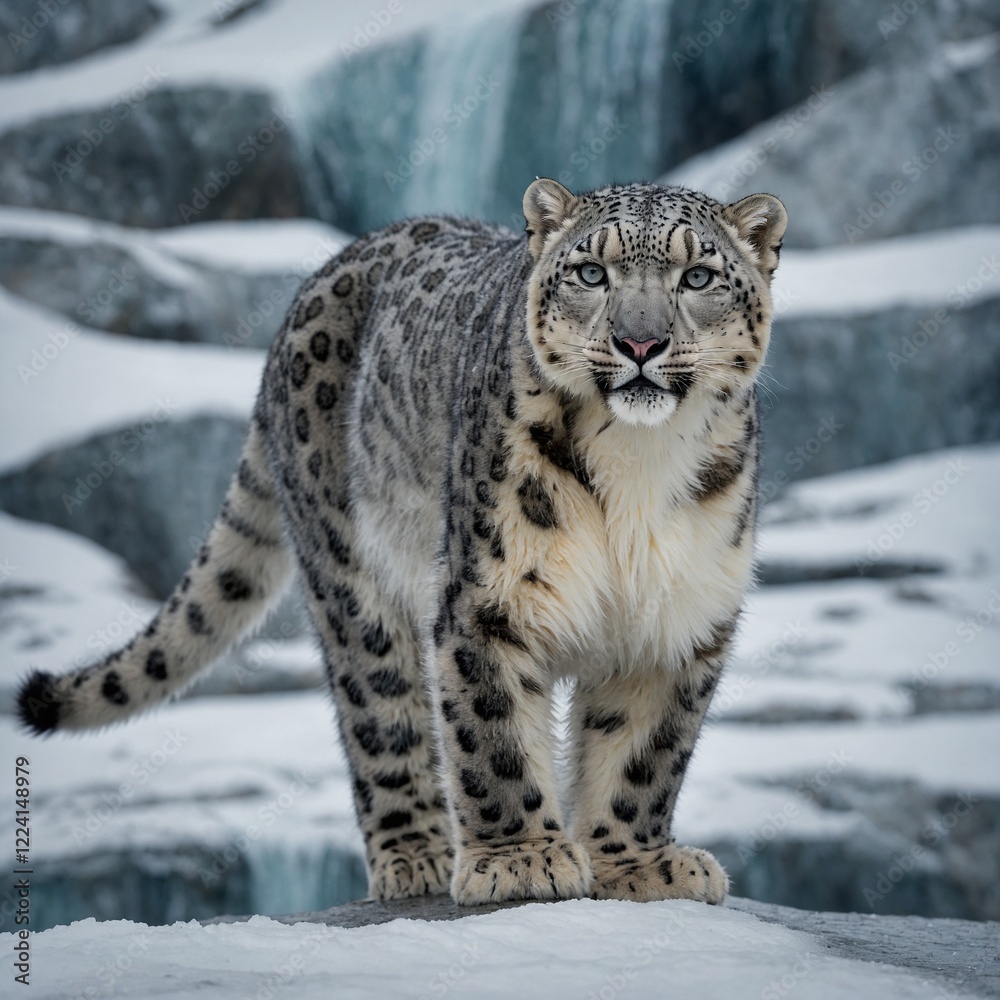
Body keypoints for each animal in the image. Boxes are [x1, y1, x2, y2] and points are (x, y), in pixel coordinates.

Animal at [18, 178, 787, 907]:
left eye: (698, 276)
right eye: (592, 272)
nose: (640, 344)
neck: (638, 464)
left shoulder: (679, 615)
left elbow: (644, 755)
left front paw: (637, 865)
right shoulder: (489, 593)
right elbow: (494, 730)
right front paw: (522, 861)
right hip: (351, 575)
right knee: (380, 710)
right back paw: (416, 855)